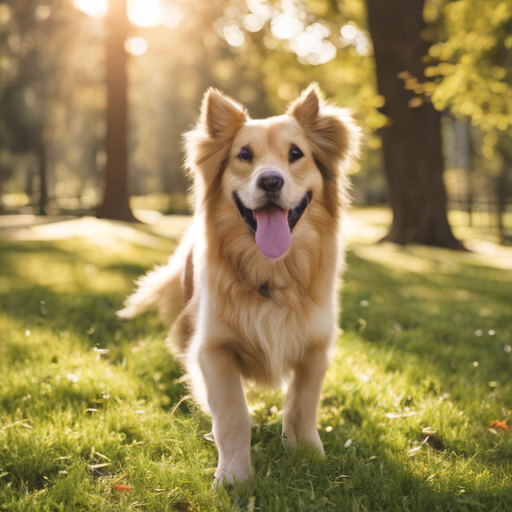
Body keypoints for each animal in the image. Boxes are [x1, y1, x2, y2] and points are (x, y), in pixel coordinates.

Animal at [119, 84, 360, 484]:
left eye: (296, 154)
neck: (271, 274)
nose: (271, 180)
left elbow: (302, 406)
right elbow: (233, 413)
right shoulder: (213, 348)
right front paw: (235, 476)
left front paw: (310, 456)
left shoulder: (316, 347)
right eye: (244, 155)